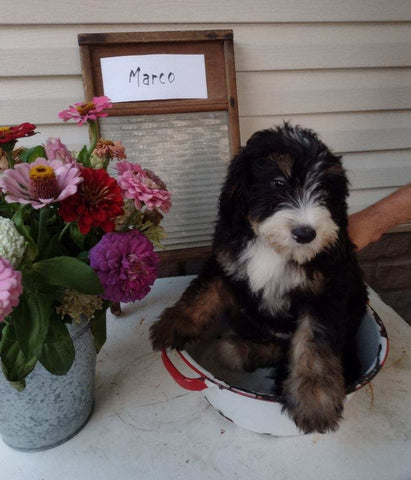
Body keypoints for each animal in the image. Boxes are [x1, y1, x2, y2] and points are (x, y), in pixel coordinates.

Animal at [150, 124, 366, 436]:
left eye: (324, 190)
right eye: (278, 182)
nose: (306, 233)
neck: (272, 247)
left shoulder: (327, 290)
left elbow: (314, 344)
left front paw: (314, 400)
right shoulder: (226, 260)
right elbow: (203, 292)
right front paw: (174, 324)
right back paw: (236, 350)